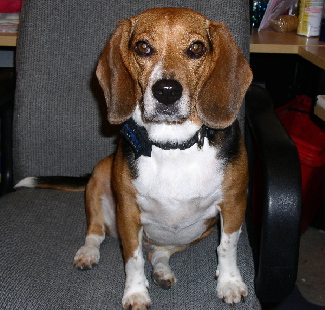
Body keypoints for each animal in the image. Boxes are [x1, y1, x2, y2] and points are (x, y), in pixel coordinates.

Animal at [16, 7, 252, 310]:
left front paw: (229, 282)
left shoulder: (234, 203)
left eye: (196, 48)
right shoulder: (128, 212)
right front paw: (136, 293)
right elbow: (133, 259)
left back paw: (162, 271)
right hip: (99, 175)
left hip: (194, 234)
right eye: (143, 47)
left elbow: (227, 248)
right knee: (97, 232)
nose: (166, 90)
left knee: (158, 254)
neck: (173, 145)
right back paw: (88, 253)